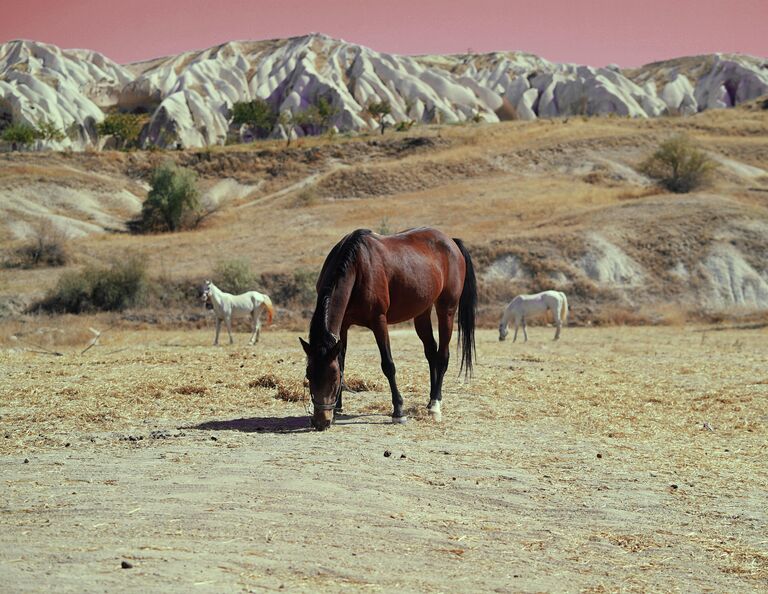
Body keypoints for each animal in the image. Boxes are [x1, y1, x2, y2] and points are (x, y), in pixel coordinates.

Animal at [298, 224, 474, 428]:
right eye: (309, 374)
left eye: (333, 377)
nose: (321, 421)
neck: (357, 267)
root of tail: (451, 242)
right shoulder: (343, 326)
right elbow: (341, 361)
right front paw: (337, 408)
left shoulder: (379, 321)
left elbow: (388, 365)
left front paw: (398, 411)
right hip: (422, 312)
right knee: (431, 352)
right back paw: (430, 401)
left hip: (447, 309)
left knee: (443, 355)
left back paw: (435, 405)